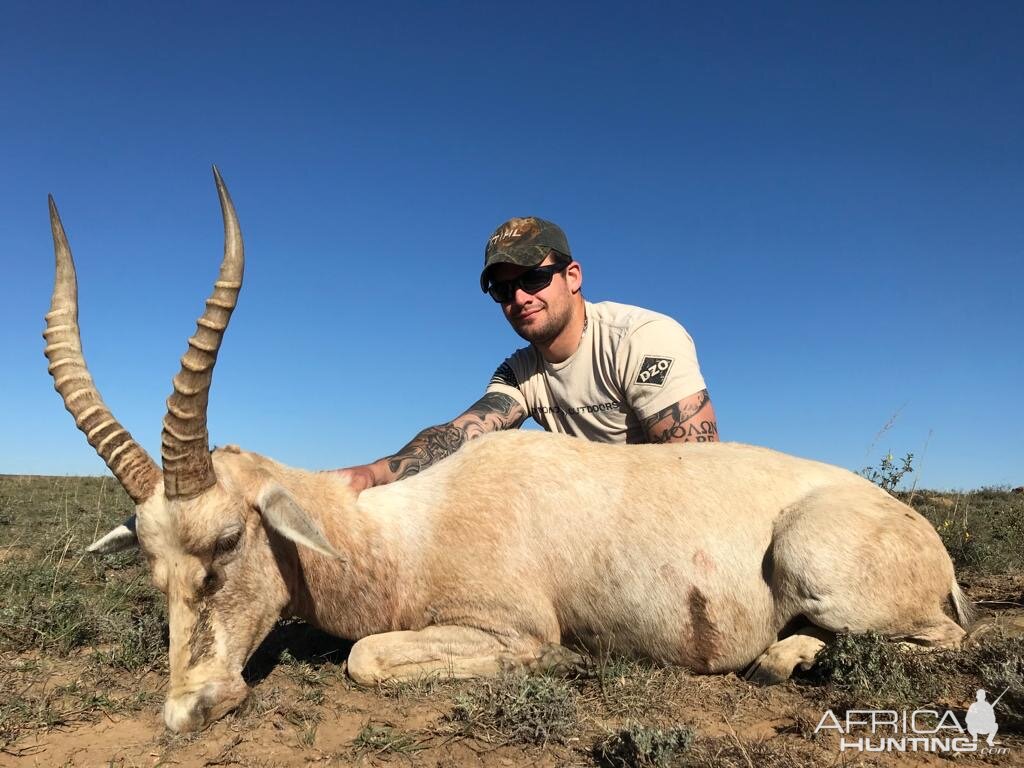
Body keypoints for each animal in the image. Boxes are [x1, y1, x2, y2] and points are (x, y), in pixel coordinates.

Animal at [44, 167, 970, 733]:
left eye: (229, 541)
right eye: (150, 562)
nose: (185, 710)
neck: (400, 531)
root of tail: (926, 541)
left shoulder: (507, 626)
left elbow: (366, 658)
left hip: (823, 566)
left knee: (938, 640)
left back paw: (791, 657)